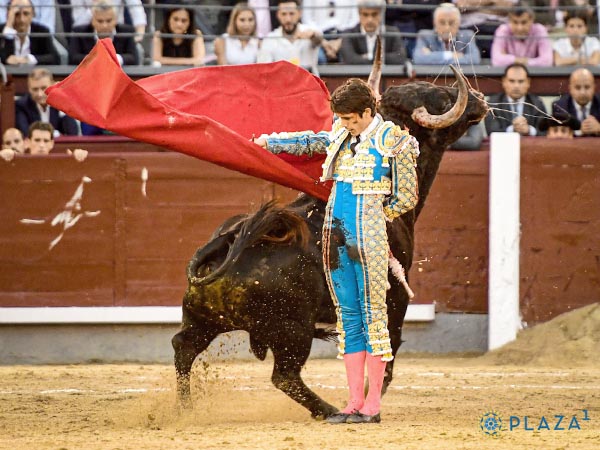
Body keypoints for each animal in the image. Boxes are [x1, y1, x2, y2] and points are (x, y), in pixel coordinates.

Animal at [171, 61, 490, 420]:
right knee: (284, 375)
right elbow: (388, 346)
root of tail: (224, 248)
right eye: (441, 97)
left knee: (183, 348)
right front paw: (370, 402)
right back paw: (329, 409)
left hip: (205, 319)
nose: (479, 98)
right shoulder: (395, 296)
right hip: (291, 329)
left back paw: (185, 409)